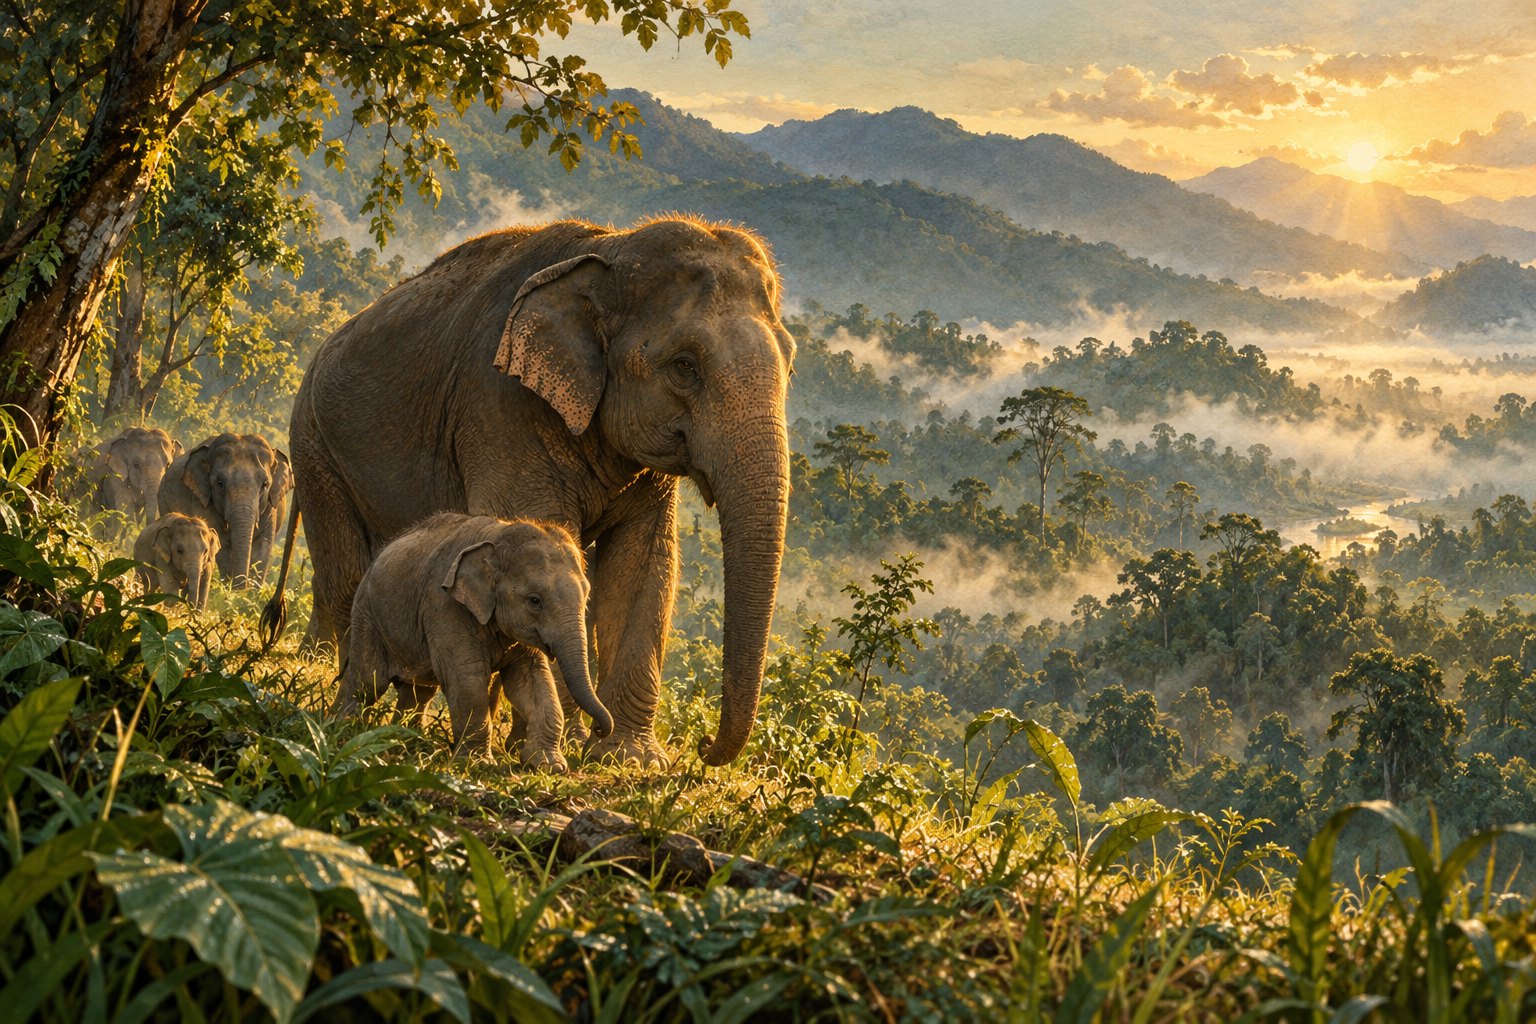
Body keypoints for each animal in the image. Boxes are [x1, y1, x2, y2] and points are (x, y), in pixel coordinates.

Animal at [159, 432, 290, 588]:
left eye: (265, 484)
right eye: (220, 484)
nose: (242, 586)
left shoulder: (271, 506)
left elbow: (262, 546)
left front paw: (250, 592)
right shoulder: (202, 499)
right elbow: (220, 541)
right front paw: (230, 589)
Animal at [335, 513, 613, 769]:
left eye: (587, 595)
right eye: (535, 600)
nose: (600, 729)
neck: (500, 534)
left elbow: (532, 679)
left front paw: (547, 765)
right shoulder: (444, 605)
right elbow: (466, 677)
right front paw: (477, 764)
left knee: (417, 692)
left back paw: (407, 742)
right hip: (367, 616)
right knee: (365, 682)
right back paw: (342, 732)